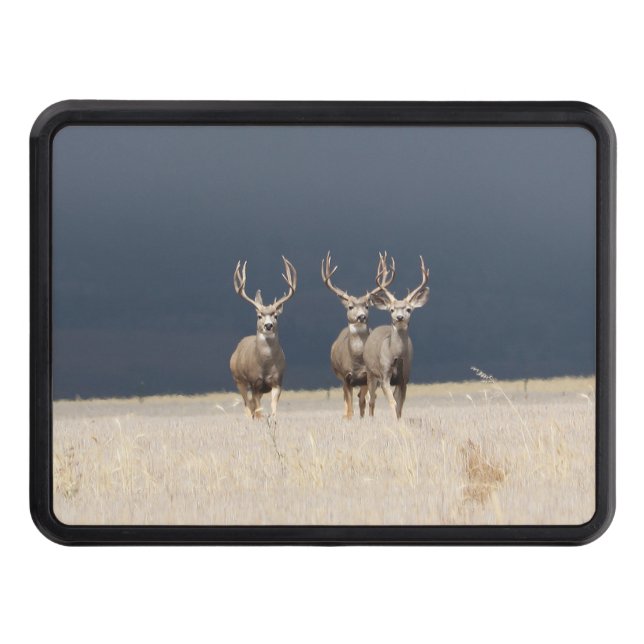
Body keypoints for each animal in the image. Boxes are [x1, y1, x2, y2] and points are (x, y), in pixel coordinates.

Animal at [229, 256, 297, 419]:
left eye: (276, 315)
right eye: (259, 316)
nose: (268, 325)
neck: (265, 365)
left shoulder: (277, 382)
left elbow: (273, 410)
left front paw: (272, 421)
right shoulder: (255, 383)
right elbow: (257, 410)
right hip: (239, 380)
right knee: (248, 406)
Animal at [321, 251, 396, 419]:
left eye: (367, 306)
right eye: (350, 306)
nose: (362, 316)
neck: (356, 361)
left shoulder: (367, 376)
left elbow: (363, 402)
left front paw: (365, 419)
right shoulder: (345, 376)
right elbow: (350, 407)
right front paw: (349, 418)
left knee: (363, 399)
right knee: (347, 401)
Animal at [363, 256, 430, 420]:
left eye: (409, 309)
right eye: (392, 310)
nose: (399, 317)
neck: (397, 354)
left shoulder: (404, 378)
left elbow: (400, 403)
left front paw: (399, 421)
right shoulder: (384, 374)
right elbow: (392, 402)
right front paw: (394, 421)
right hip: (370, 372)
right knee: (371, 399)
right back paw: (370, 419)